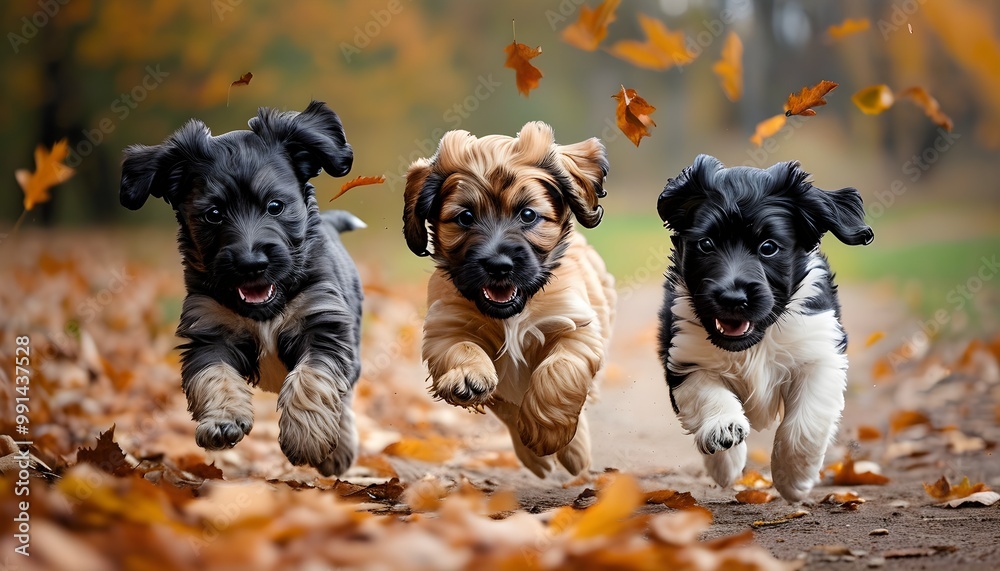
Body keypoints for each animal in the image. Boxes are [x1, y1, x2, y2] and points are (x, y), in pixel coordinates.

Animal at [119, 100, 366, 476]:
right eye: (213, 214)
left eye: (275, 206)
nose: (252, 263)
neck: (264, 309)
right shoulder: (210, 330)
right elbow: (213, 375)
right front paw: (222, 421)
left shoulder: (323, 323)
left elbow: (313, 378)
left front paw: (306, 438)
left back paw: (338, 450)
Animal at [402, 123, 612, 476]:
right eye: (465, 217)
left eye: (528, 215)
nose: (499, 265)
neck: (512, 313)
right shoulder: (445, 325)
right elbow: (461, 348)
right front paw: (467, 376)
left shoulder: (576, 324)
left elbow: (559, 371)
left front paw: (548, 435)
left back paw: (573, 452)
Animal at [656, 155, 868, 500]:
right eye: (706, 244)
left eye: (768, 247)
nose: (732, 298)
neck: (756, 340)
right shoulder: (685, 354)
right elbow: (708, 395)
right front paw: (723, 439)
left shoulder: (820, 354)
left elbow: (804, 424)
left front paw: (793, 479)